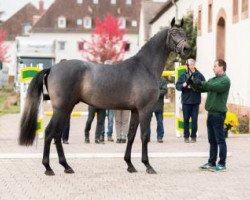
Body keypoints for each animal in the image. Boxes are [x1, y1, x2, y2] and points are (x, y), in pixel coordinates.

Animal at [19, 18, 190, 175]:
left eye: (185, 33)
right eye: (174, 33)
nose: (187, 49)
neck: (144, 67)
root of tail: (52, 68)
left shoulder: (135, 111)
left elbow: (131, 136)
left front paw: (130, 165)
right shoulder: (145, 110)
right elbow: (145, 136)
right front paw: (148, 166)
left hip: (66, 109)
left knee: (57, 135)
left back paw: (66, 166)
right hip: (61, 109)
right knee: (50, 133)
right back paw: (48, 168)